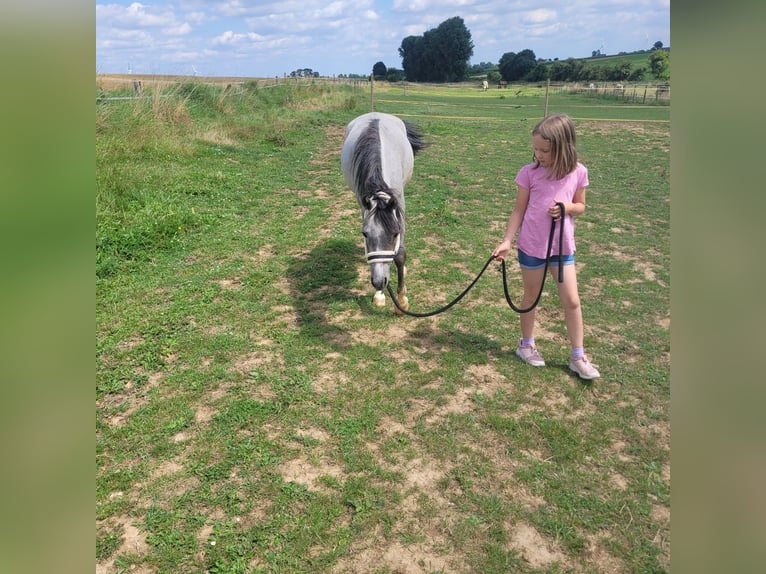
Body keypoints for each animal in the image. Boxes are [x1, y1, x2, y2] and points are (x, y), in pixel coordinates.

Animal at [344, 112, 432, 316]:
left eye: (394, 233)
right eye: (365, 234)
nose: (378, 282)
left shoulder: (400, 209)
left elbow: (400, 254)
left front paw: (402, 302)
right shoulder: (363, 206)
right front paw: (379, 295)